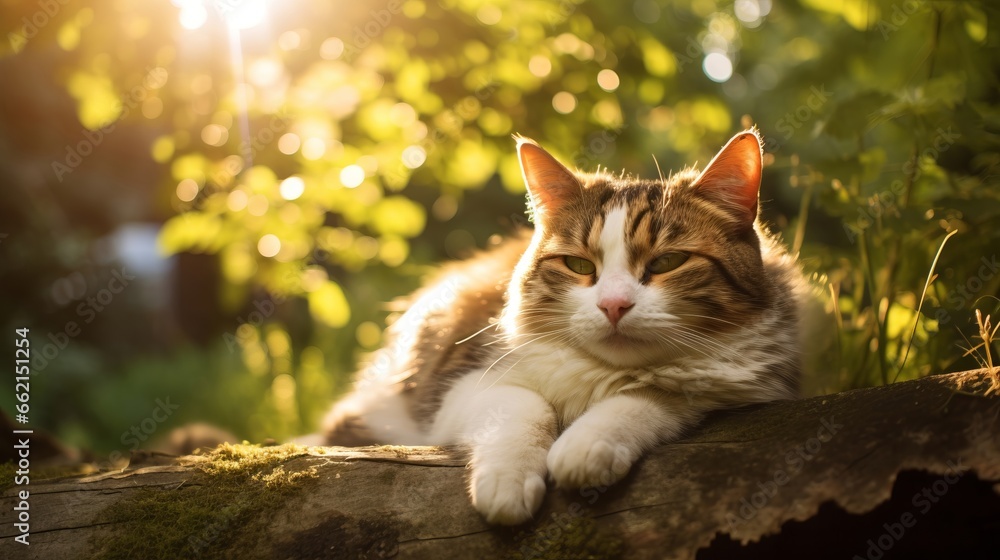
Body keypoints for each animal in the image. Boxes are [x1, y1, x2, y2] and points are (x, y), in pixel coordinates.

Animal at [318, 130, 804, 524]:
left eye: (668, 262)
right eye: (579, 265)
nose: (613, 305)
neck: (604, 373)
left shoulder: (741, 384)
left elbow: (654, 395)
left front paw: (587, 446)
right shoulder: (462, 385)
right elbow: (523, 405)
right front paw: (508, 480)